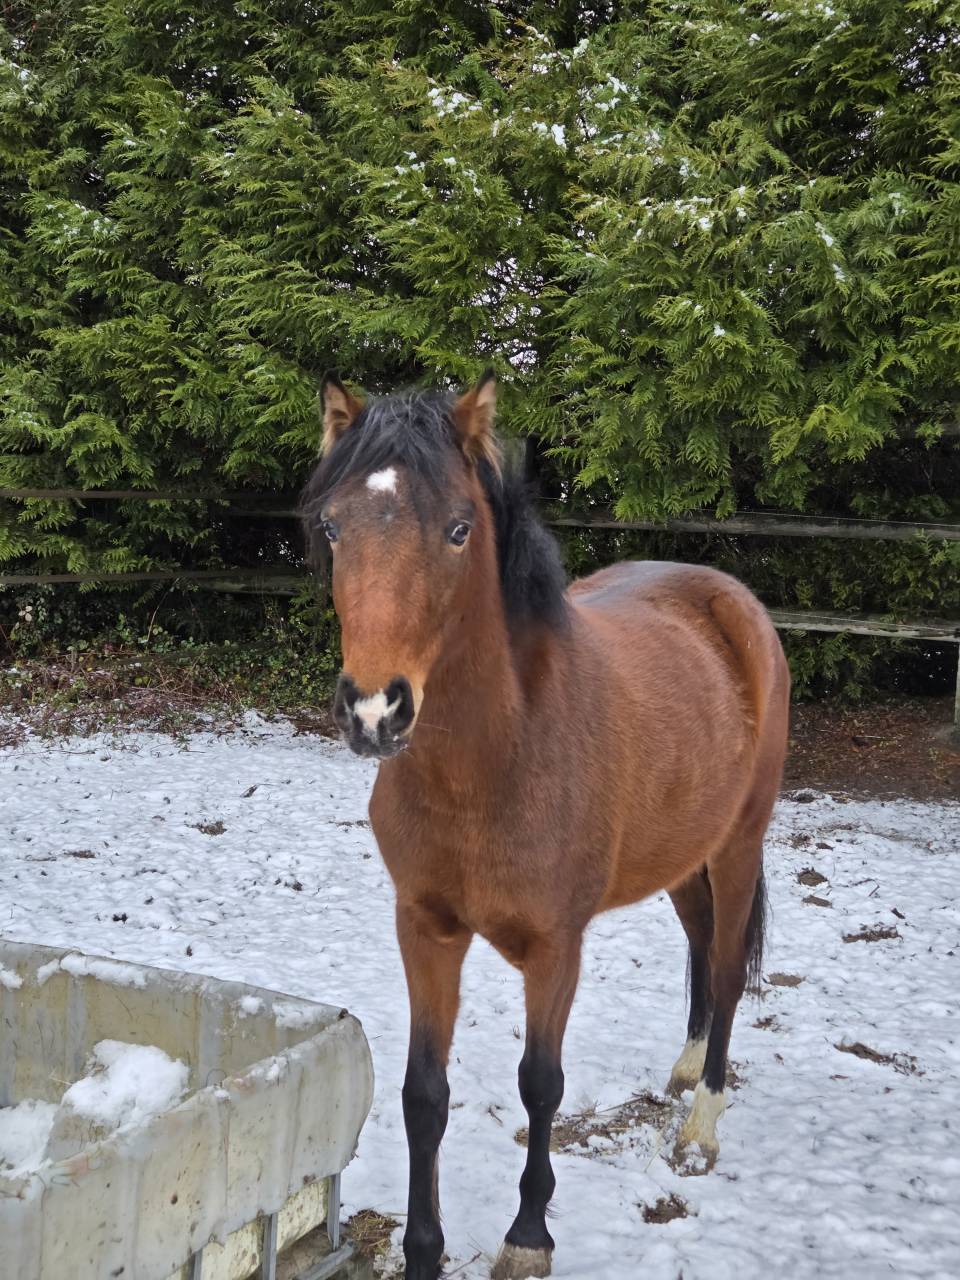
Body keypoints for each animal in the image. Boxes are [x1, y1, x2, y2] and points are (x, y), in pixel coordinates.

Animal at [301, 372, 790, 1280]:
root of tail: (729, 600)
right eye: (332, 525)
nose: (375, 713)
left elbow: (541, 1084)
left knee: (729, 968)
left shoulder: (557, 948)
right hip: (685, 859)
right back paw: (684, 1068)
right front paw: (424, 1250)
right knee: (703, 947)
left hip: (739, 844)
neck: (494, 763)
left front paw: (529, 1235)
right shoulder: (425, 929)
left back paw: (701, 1126)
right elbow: (425, 1094)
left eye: (459, 528)